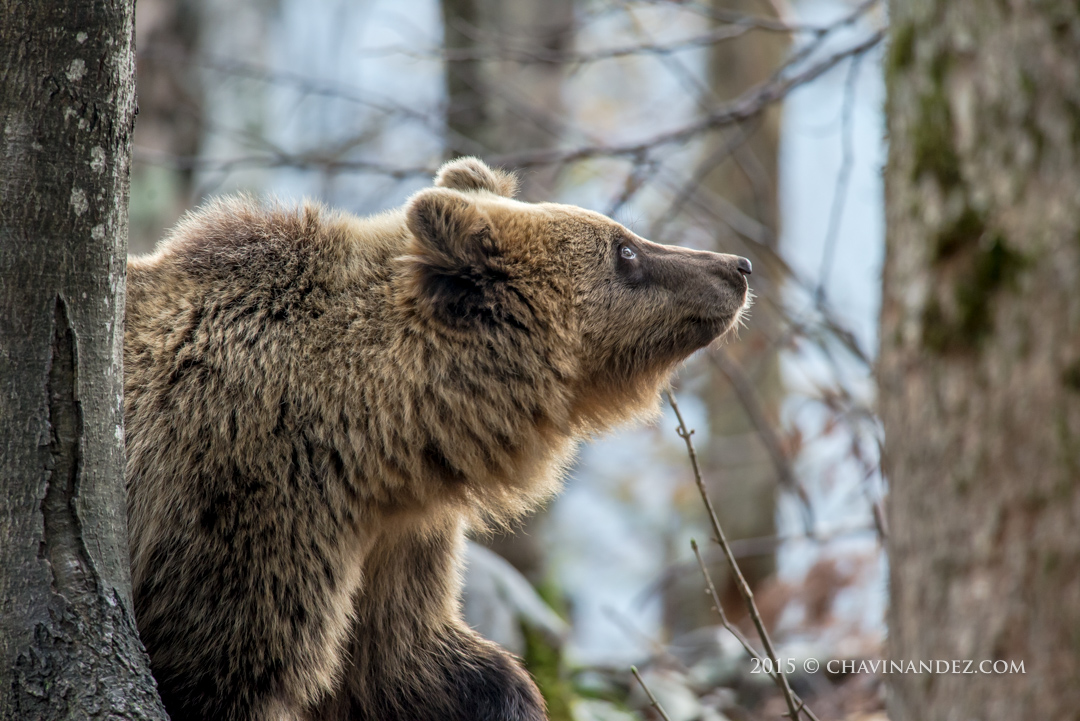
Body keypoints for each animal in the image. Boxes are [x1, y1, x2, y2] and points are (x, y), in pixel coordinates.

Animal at [123, 157, 751, 721]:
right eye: (625, 250)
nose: (737, 267)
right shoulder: (253, 495)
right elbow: (229, 668)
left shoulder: (398, 532)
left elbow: (403, 660)